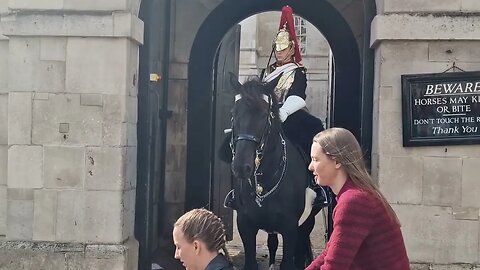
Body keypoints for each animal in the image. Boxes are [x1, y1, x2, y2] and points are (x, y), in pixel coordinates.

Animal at [226, 76, 324, 270]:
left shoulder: (290, 228)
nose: (241, 167)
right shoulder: (245, 225)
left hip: (307, 221)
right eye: (234, 113)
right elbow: (251, 262)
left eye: (264, 114)